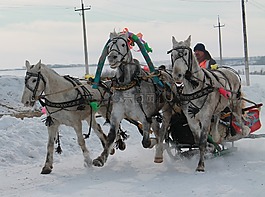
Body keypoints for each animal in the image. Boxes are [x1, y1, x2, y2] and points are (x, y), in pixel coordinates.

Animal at [92, 31, 176, 167]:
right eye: (109, 46)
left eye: (123, 44)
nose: (112, 57)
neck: (127, 85)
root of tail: (165, 72)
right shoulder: (116, 116)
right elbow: (110, 138)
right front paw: (101, 158)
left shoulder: (145, 117)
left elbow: (146, 142)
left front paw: (153, 142)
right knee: (158, 130)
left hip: (167, 110)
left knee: (163, 131)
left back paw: (159, 151)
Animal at [168, 36, 249, 172]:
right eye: (173, 55)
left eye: (185, 53)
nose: (177, 76)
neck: (195, 87)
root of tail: (230, 71)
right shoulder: (191, 119)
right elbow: (197, 140)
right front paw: (205, 153)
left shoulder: (205, 118)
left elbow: (202, 142)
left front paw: (201, 165)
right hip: (218, 107)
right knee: (216, 118)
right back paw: (216, 137)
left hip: (234, 104)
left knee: (239, 121)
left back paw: (241, 132)